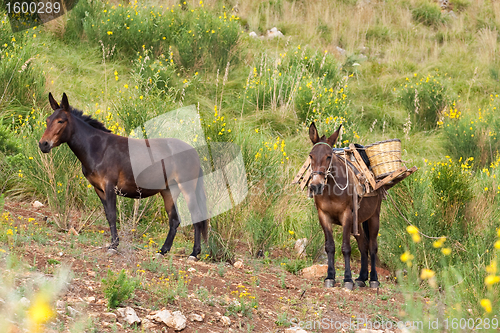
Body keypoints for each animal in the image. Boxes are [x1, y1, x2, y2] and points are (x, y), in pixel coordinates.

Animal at [39, 92, 209, 258]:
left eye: (61, 121)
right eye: (48, 120)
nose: (43, 144)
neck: (99, 149)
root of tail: (194, 152)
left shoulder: (109, 187)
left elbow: (113, 215)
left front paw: (113, 246)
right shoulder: (99, 189)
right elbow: (108, 216)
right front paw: (113, 244)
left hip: (187, 188)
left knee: (196, 217)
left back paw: (194, 253)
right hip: (169, 190)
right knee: (174, 219)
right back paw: (163, 251)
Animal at [306, 122, 380, 288]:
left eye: (328, 156)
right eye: (311, 156)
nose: (316, 186)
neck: (331, 190)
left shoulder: (346, 216)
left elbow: (346, 248)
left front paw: (347, 279)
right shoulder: (323, 216)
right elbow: (330, 247)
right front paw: (330, 277)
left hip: (374, 217)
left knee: (372, 246)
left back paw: (373, 279)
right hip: (357, 222)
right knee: (363, 245)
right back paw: (361, 278)